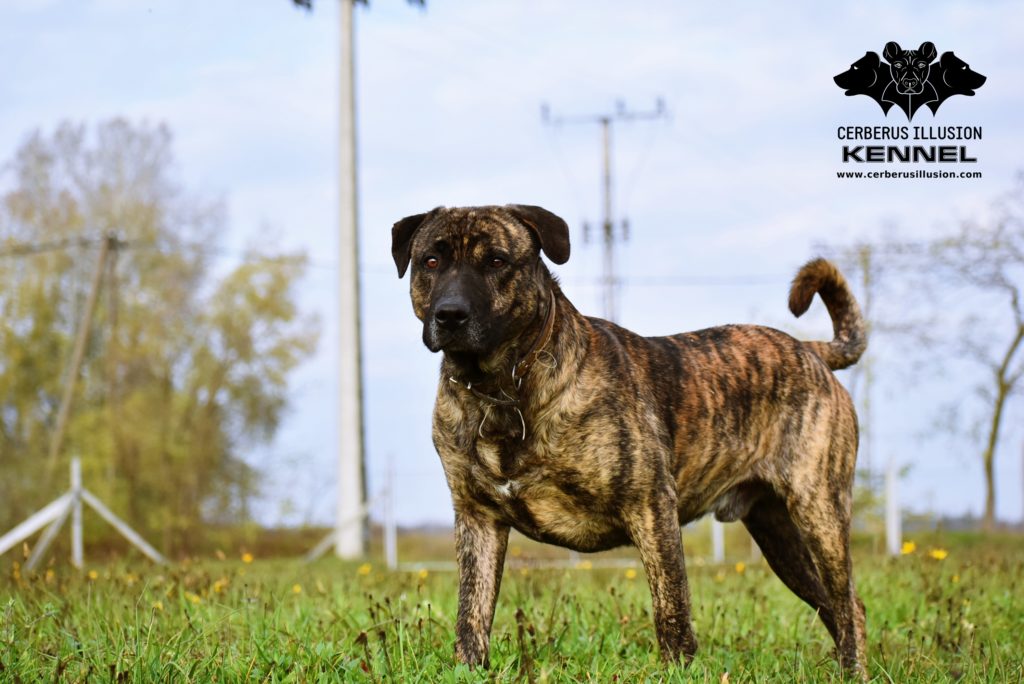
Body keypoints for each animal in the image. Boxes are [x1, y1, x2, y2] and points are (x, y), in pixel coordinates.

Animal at [387, 202, 868, 671]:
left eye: (496, 261)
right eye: (431, 260)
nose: (450, 314)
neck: (503, 387)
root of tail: (811, 350)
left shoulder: (651, 506)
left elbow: (671, 610)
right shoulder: (478, 520)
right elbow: (472, 617)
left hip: (819, 512)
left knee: (849, 605)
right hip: (778, 534)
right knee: (833, 605)